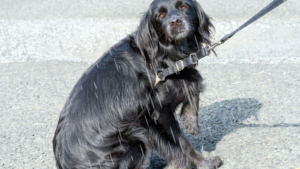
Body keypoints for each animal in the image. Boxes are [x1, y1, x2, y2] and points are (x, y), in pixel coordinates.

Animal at [53, 0, 223, 168]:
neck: (166, 56)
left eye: (183, 6)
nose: (176, 21)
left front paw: (191, 122)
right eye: (160, 15)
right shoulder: (159, 112)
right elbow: (182, 142)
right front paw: (204, 162)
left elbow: (193, 84)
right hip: (136, 139)